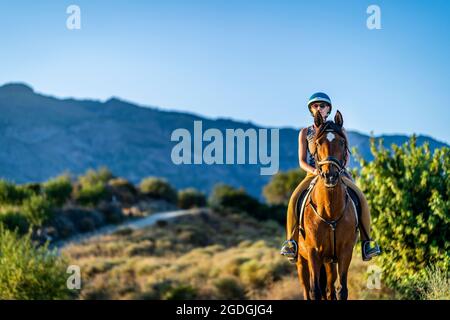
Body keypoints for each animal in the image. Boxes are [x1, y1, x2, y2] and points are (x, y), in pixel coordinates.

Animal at [296, 110, 358, 300]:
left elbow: (341, 290)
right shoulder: (313, 253)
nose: (329, 175)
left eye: (342, 142)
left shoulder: (345, 252)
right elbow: (314, 291)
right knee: (306, 289)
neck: (330, 211)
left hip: (330, 262)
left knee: (330, 289)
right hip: (302, 262)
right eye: (317, 143)